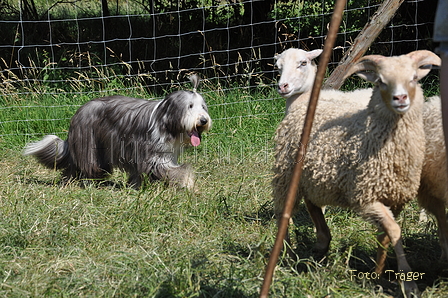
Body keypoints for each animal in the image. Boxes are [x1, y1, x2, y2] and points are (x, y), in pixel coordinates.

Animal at [24, 75, 212, 190]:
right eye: (190, 106)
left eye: (203, 107)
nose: (203, 120)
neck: (165, 120)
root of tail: (79, 112)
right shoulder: (153, 156)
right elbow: (175, 171)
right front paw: (188, 183)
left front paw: (136, 186)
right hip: (89, 145)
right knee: (82, 164)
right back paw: (85, 182)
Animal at [272, 50, 440, 296]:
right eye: (278, 66)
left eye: (303, 63)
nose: (282, 86)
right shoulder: (364, 194)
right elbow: (390, 231)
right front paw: (394, 279)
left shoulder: (388, 197)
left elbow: (388, 233)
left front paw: (388, 276)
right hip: (291, 174)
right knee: (288, 210)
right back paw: (289, 253)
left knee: (304, 207)